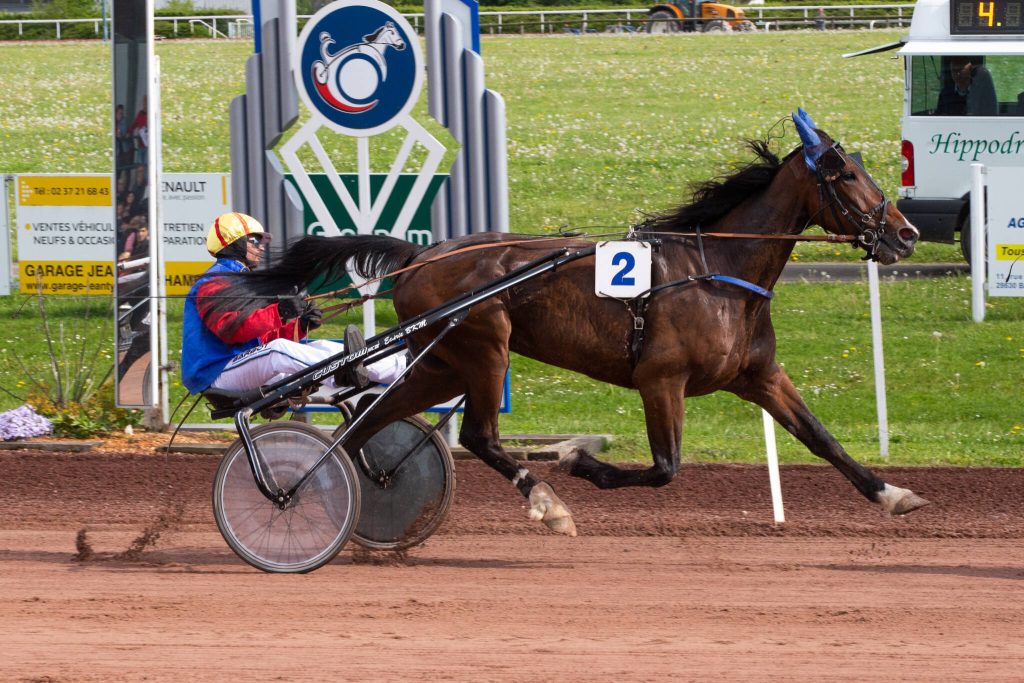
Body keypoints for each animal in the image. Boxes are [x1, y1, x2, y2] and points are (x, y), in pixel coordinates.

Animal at [211, 110, 929, 536]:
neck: (717, 269)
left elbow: (822, 439)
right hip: (484, 346)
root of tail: (421, 255)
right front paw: (582, 463)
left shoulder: (759, 374)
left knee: (367, 423)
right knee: (479, 434)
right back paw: (545, 501)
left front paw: (893, 492)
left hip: (440, 358)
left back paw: (353, 491)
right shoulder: (661, 379)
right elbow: (665, 467)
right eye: (844, 173)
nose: (906, 234)